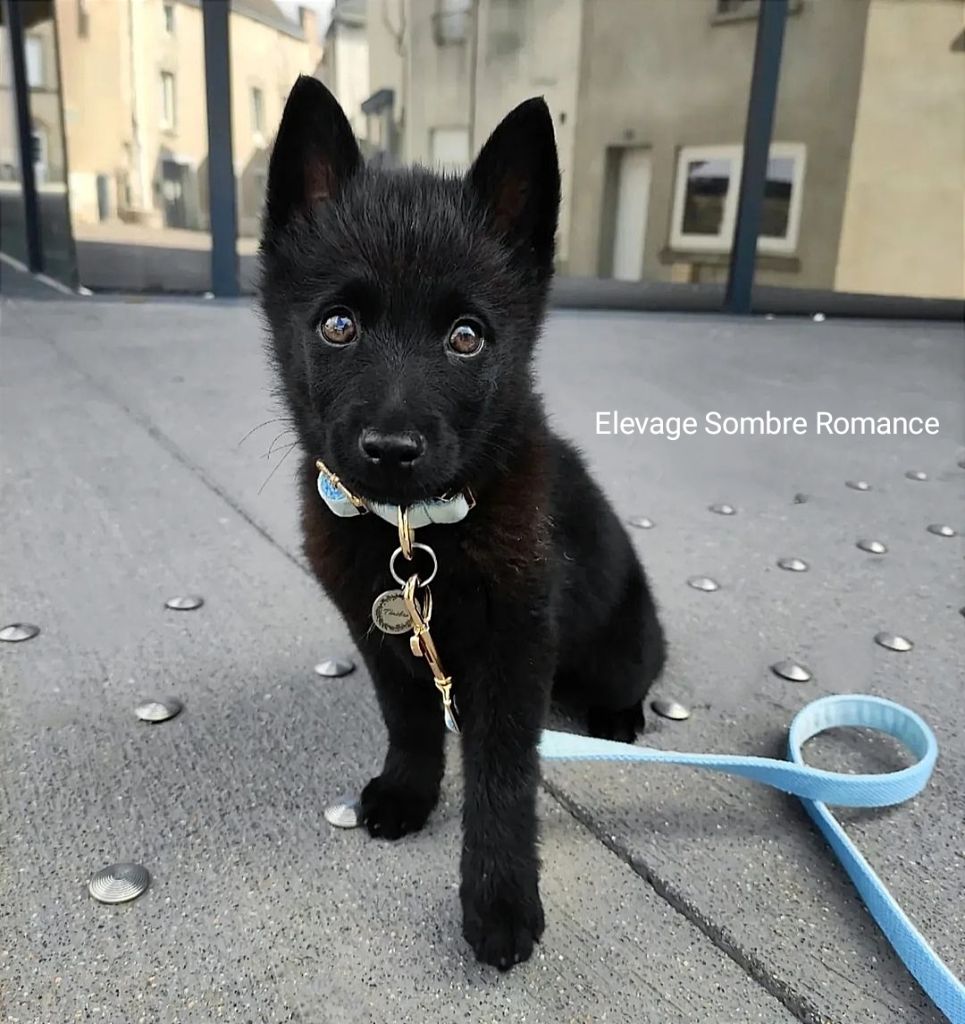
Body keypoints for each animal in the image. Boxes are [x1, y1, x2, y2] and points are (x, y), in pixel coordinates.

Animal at [260, 75, 667, 970]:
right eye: (337, 325)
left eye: (466, 337)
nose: (389, 449)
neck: (413, 531)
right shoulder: (384, 634)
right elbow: (410, 721)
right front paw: (408, 793)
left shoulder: (515, 652)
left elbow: (502, 780)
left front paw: (500, 901)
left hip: (620, 647)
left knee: (632, 678)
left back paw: (618, 718)